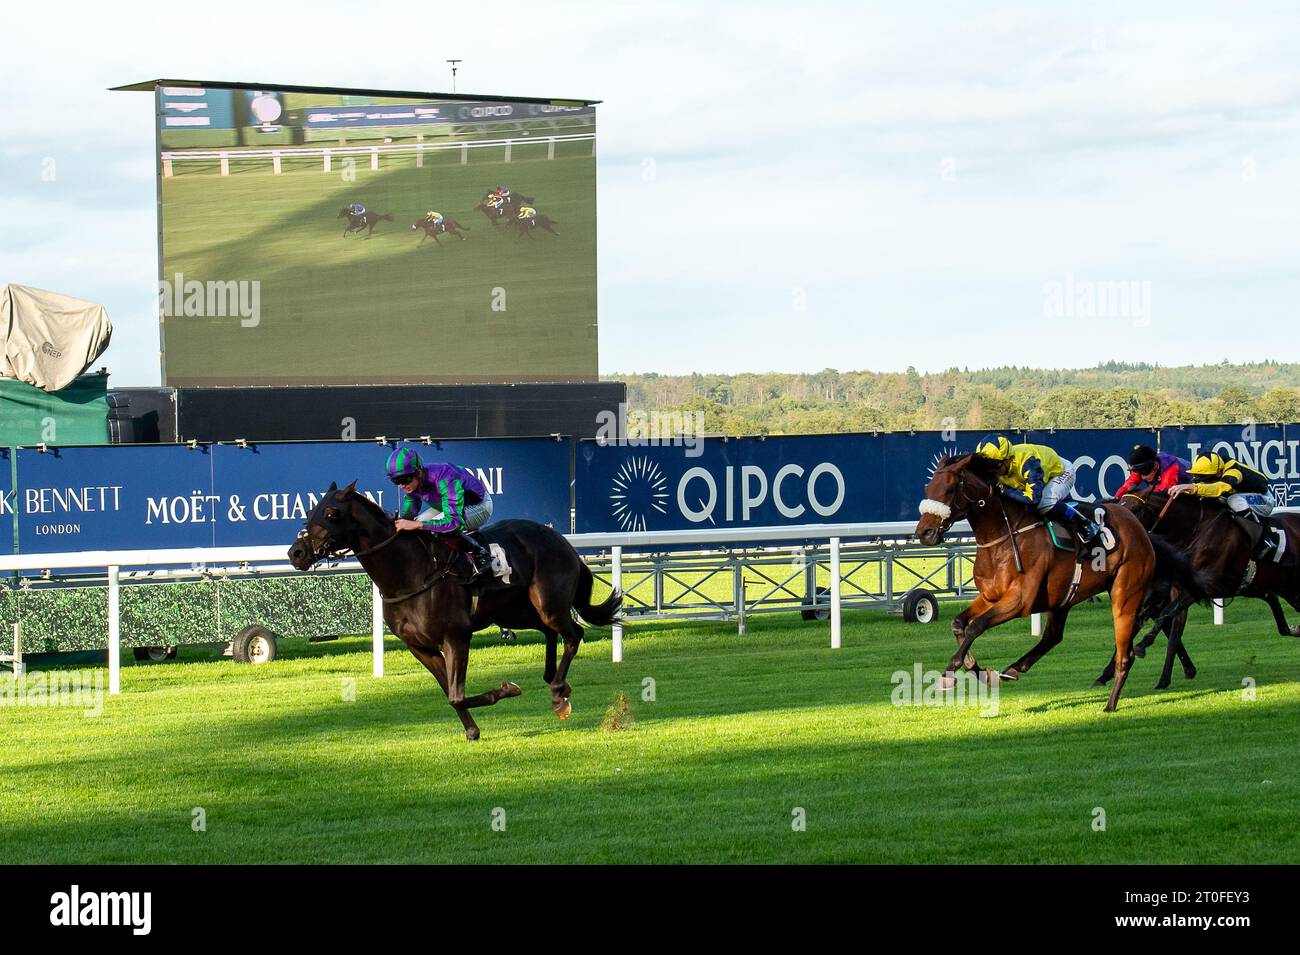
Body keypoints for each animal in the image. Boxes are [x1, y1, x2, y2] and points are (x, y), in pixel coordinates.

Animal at [289, 485, 624, 738]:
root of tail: (562, 541)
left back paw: (557, 693)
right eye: (310, 512)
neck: (410, 572)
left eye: (331, 514)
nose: (297, 553)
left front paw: (506, 690)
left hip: (548, 603)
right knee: (550, 632)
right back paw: (555, 681)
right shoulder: (420, 648)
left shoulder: (456, 638)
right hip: (515, 612)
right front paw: (473, 730)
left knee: (573, 633)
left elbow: (456, 694)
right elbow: (450, 696)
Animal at [915, 454, 1170, 712]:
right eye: (928, 488)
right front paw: (981, 671)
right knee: (1053, 636)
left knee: (1124, 655)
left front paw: (949, 673)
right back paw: (1013, 669)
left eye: (948, 489)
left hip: (1125, 596)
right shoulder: (990, 596)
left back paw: (1110, 704)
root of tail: (1138, 527)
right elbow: (959, 623)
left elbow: (976, 626)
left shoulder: (1019, 601)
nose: (923, 533)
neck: (1003, 536)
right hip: (1064, 597)